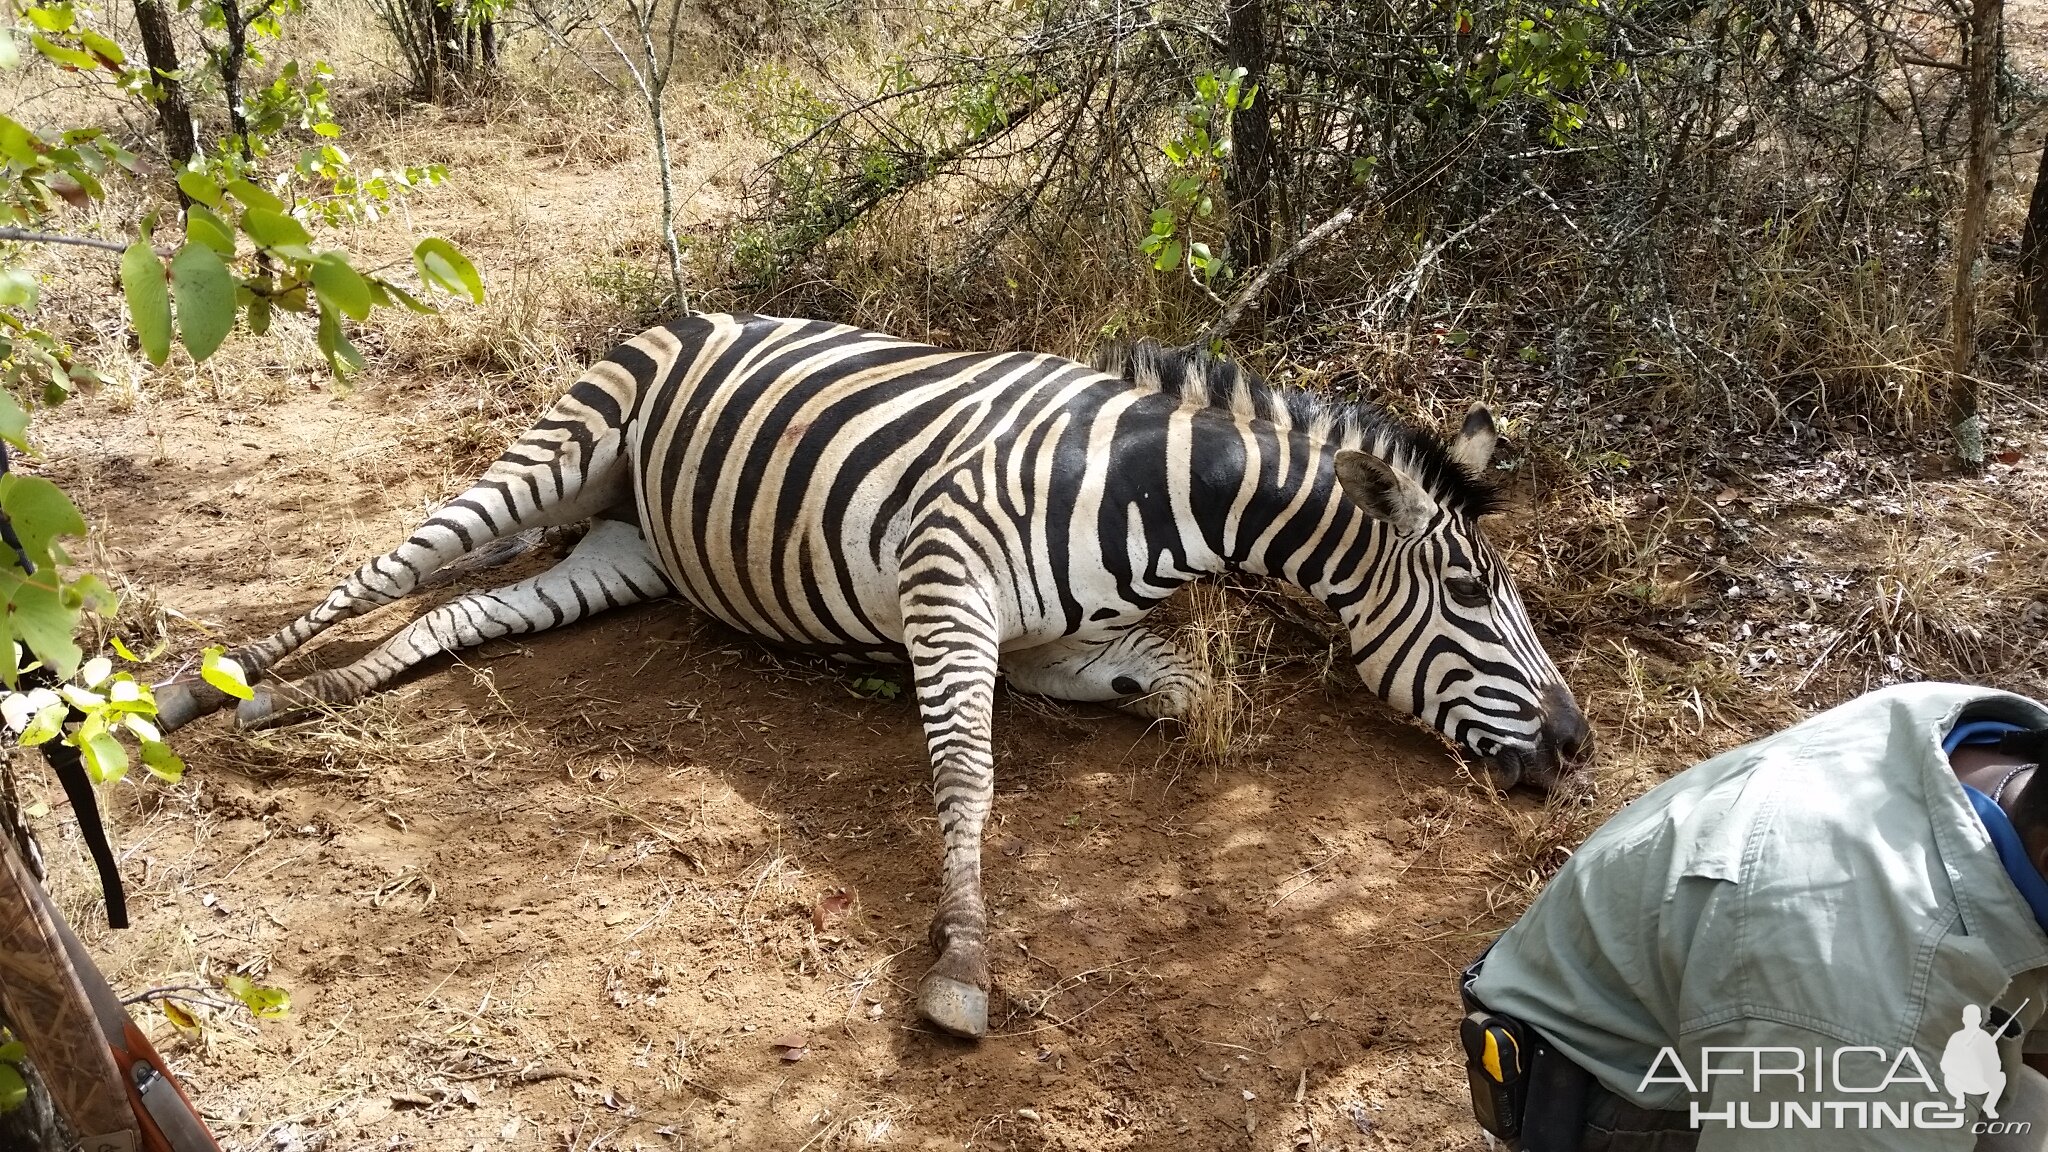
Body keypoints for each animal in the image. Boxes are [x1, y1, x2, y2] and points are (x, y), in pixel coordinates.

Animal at [151, 309, 1589, 1037]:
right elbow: (966, 778)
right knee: (386, 566)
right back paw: (197, 692)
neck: (1153, 492)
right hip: (567, 444)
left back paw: (307, 700)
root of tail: (702, 303)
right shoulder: (949, 588)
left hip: (628, 546)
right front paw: (962, 963)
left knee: (451, 617)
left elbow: (1181, 693)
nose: (1577, 748)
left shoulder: (1066, 644)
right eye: (1474, 597)